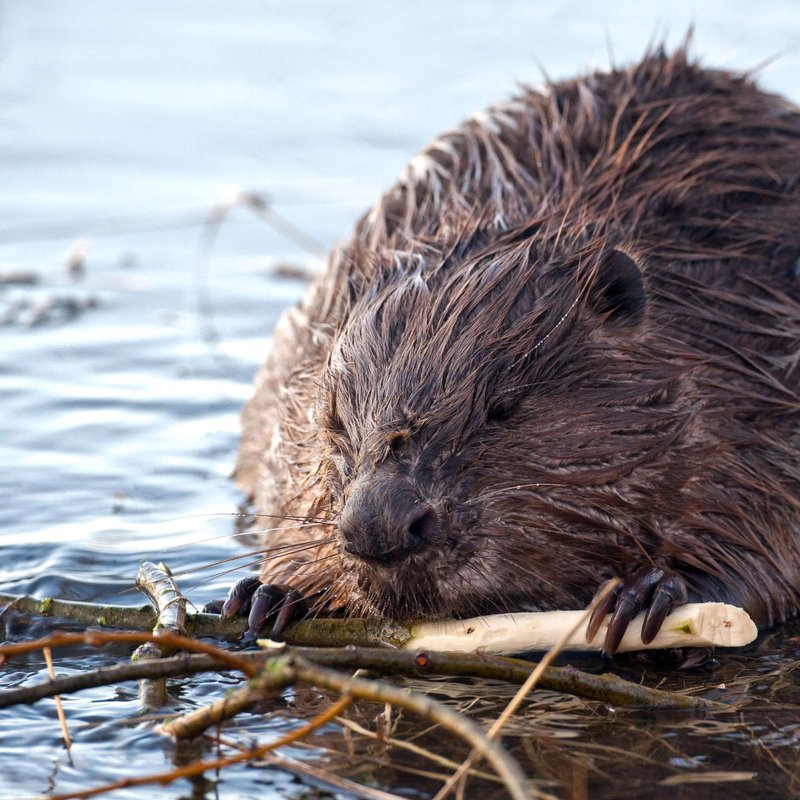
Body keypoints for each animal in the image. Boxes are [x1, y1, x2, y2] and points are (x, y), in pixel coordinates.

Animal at [223, 47, 800, 652]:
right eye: (333, 418)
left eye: (504, 407)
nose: (379, 528)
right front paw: (275, 593)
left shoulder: (756, 367)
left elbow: (766, 546)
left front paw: (648, 594)